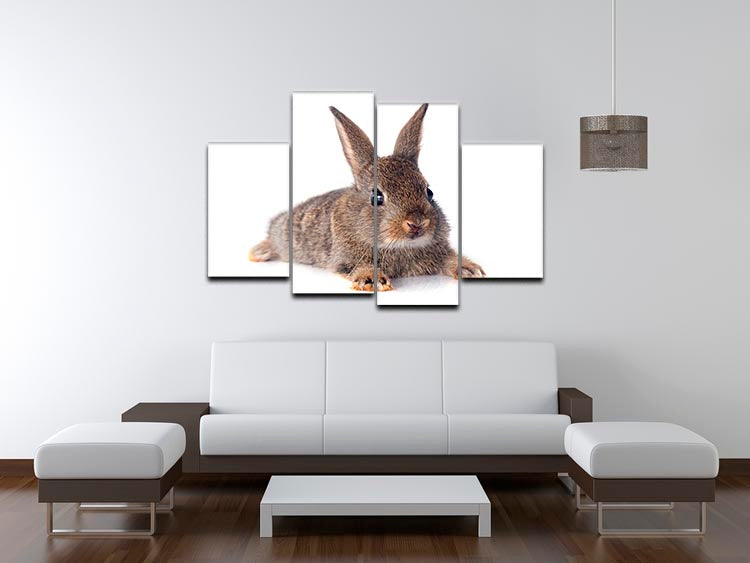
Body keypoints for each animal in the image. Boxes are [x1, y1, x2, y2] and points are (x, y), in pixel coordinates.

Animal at [249, 103, 485, 291]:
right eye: (376, 197)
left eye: (429, 192)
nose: (417, 223)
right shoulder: (346, 259)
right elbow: (359, 267)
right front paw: (374, 281)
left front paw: (470, 269)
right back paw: (258, 253)